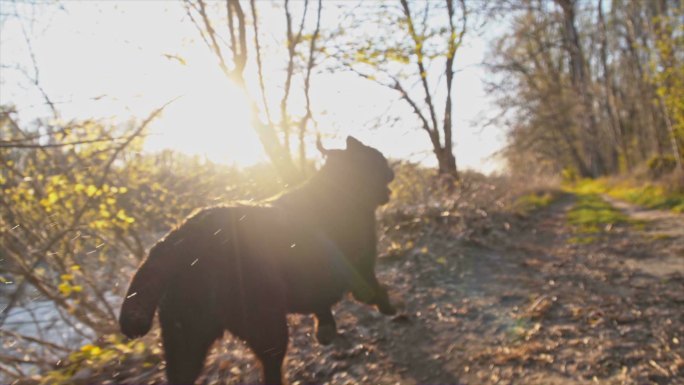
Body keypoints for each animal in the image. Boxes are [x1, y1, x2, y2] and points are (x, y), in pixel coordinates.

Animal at [118, 136, 396, 382]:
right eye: (379, 158)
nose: (392, 168)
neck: (341, 191)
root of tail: (178, 238)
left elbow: (323, 306)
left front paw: (325, 330)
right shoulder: (361, 268)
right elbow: (375, 291)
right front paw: (388, 307)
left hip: (185, 340)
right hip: (266, 325)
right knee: (271, 370)